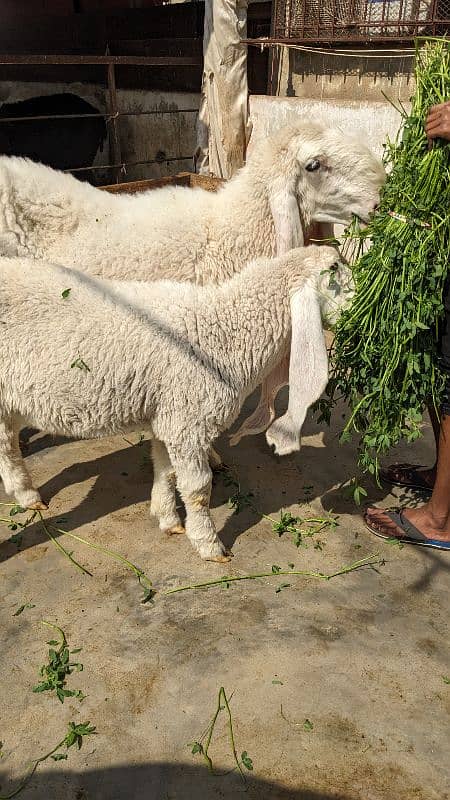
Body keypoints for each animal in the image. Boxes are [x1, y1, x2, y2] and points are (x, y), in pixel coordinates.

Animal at [0, 244, 348, 564]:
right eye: (334, 271)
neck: (227, 329)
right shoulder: (189, 421)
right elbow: (198, 489)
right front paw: (209, 545)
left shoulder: (170, 417)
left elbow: (165, 471)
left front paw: (167, 519)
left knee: (7, 445)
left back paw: (26, 494)